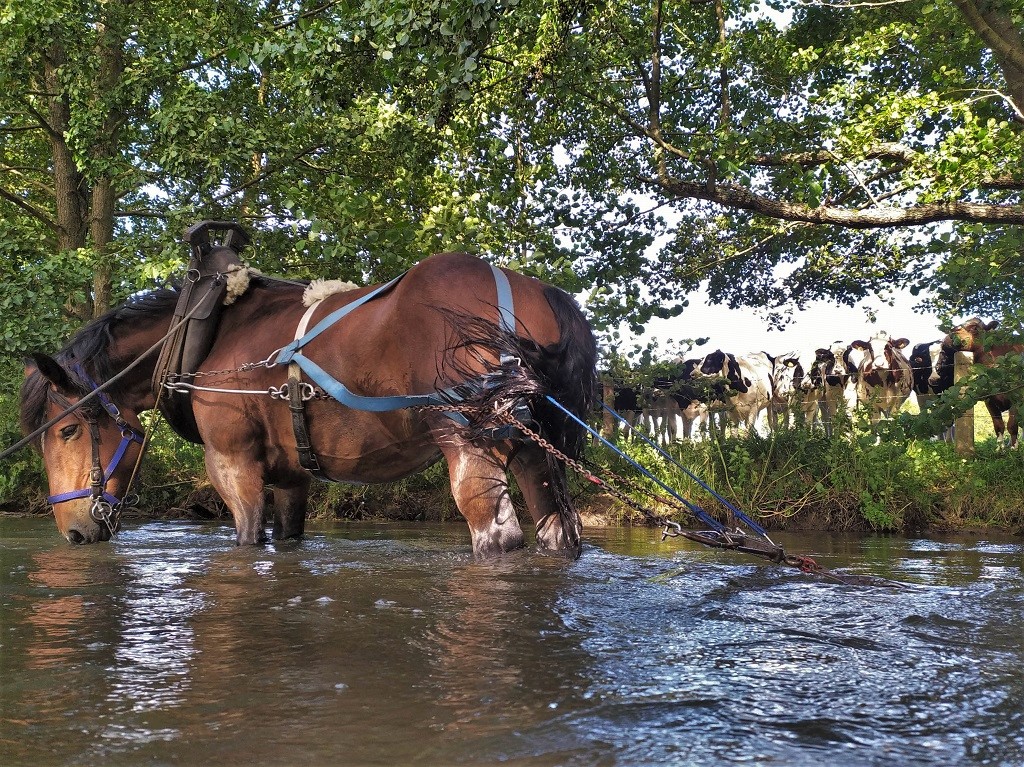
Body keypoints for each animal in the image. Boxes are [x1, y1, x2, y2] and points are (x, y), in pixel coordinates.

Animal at [18, 250, 598, 557]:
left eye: (66, 430)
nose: (73, 530)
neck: (205, 335)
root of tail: (529, 290)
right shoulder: (292, 475)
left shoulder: (231, 461)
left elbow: (247, 537)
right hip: (531, 447)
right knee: (556, 531)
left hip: (468, 439)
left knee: (496, 537)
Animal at [942, 317, 1024, 448]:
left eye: (975, 328)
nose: (951, 333)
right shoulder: (989, 400)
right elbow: (998, 426)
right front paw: (1000, 449)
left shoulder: (1017, 397)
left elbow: (1012, 425)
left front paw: (1014, 448)